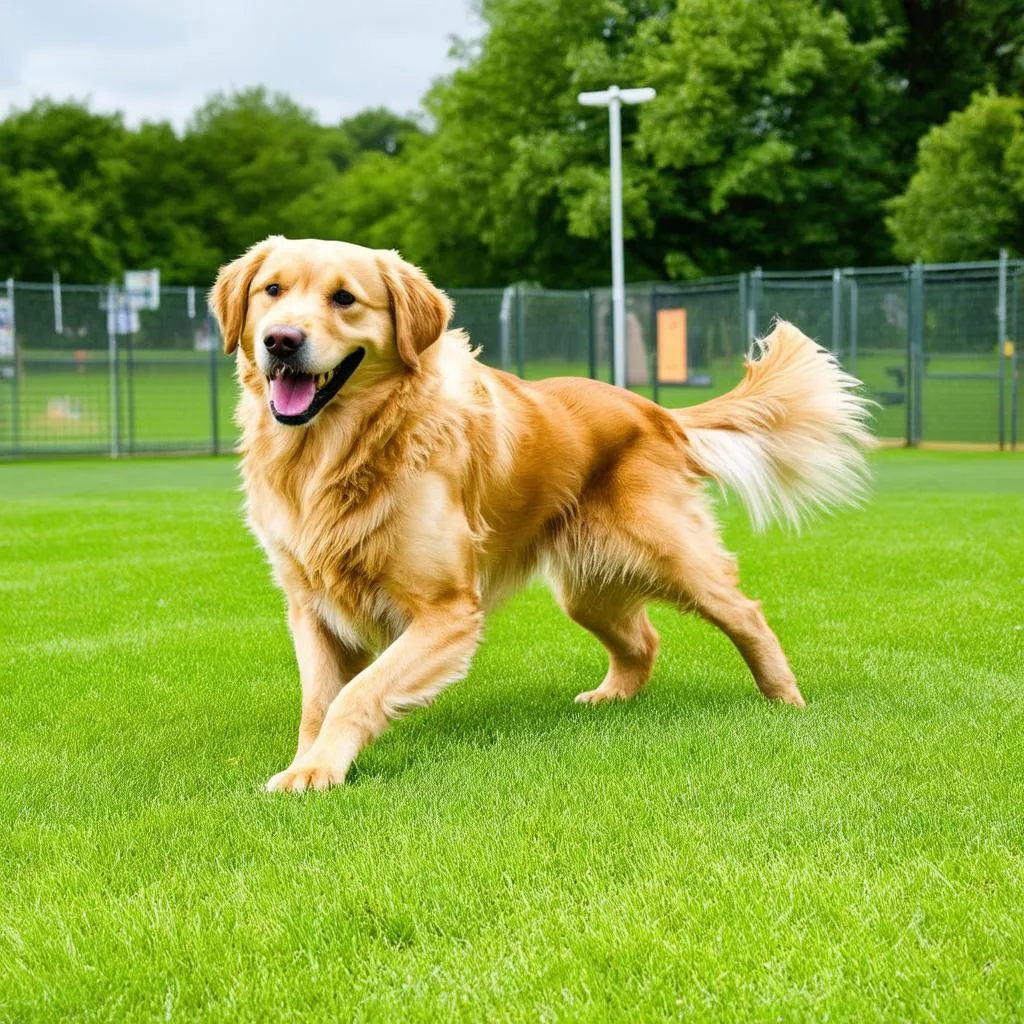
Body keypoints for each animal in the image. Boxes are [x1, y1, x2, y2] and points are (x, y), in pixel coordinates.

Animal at [207, 234, 872, 790]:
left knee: (746, 614)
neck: (336, 454)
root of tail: (655, 410)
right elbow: (317, 703)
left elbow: (356, 695)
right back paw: (612, 698)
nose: (280, 340)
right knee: (643, 640)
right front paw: (308, 762)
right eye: (272, 291)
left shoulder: (447, 613)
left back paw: (785, 699)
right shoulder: (311, 606)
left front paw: (318, 770)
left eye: (344, 298)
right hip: (588, 587)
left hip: (675, 556)